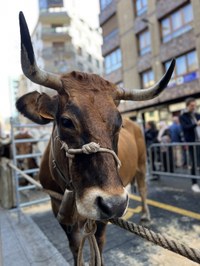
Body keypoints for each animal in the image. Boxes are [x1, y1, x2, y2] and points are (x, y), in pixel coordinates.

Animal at [16, 11, 175, 264]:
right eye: (66, 121)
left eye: (119, 123)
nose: (115, 204)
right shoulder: (59, 210)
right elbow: (75, 248)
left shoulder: (101, 220)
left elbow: (97, 246)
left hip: (142, 164)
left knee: (143, 187)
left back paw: (145, 214)